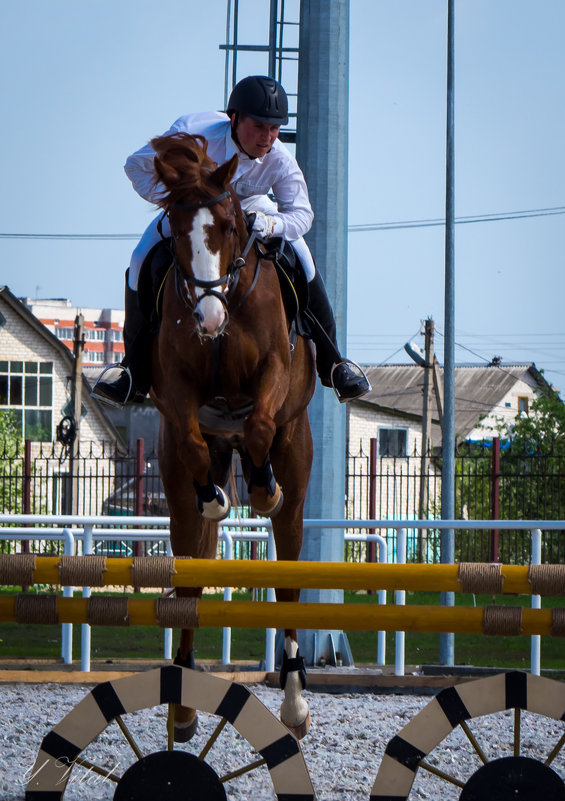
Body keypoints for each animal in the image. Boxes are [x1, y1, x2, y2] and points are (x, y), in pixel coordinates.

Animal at [150, 133, 316, 744]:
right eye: (174, 228)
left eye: (226, 224)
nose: (208, 317)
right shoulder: (175, 392)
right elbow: (193, 442)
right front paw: (216, 497)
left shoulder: (274, 373)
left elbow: (262, 424)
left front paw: (262, 489)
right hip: (177, 494)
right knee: (189, 575)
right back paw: (181, 707)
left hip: (297, 461)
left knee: (289, 577)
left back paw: (293, 703)